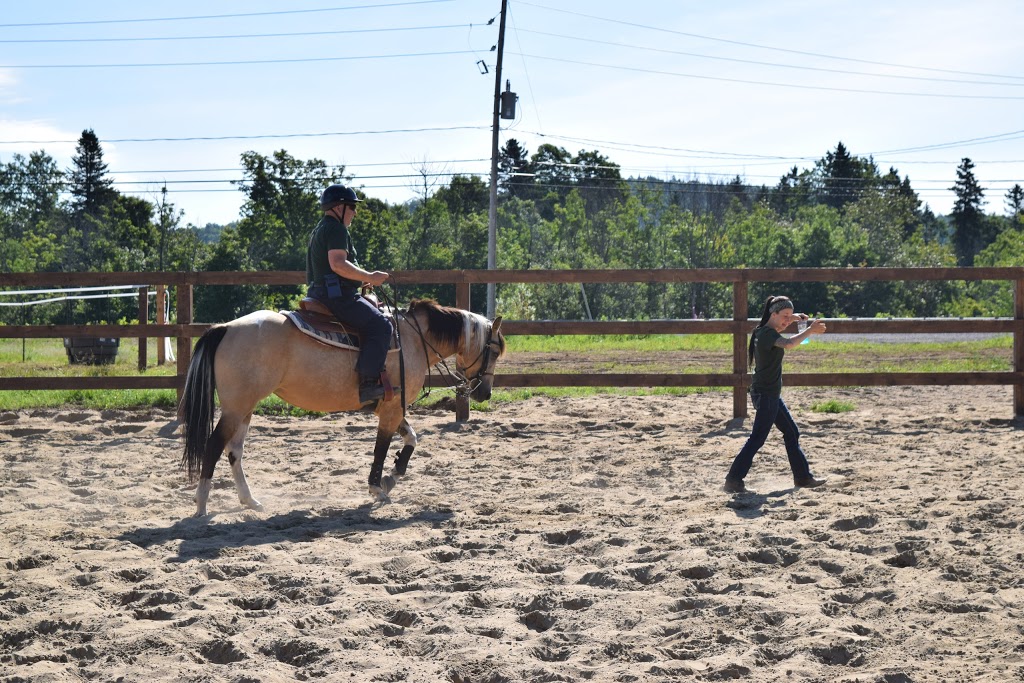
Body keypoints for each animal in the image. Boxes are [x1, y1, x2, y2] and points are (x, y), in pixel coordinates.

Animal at [181, 299, 507, 518]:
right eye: (492, 351)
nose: (485, 393)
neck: (414, 339)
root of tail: (225, 328)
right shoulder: (391, 409)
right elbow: (381, 447)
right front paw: (378, 487)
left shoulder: (391, 406)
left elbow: (411, 439)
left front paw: (393, 475)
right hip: (237, 408)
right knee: (214, 446)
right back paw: (201, 505)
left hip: (245, 408)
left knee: (234, 451)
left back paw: (250, 501)